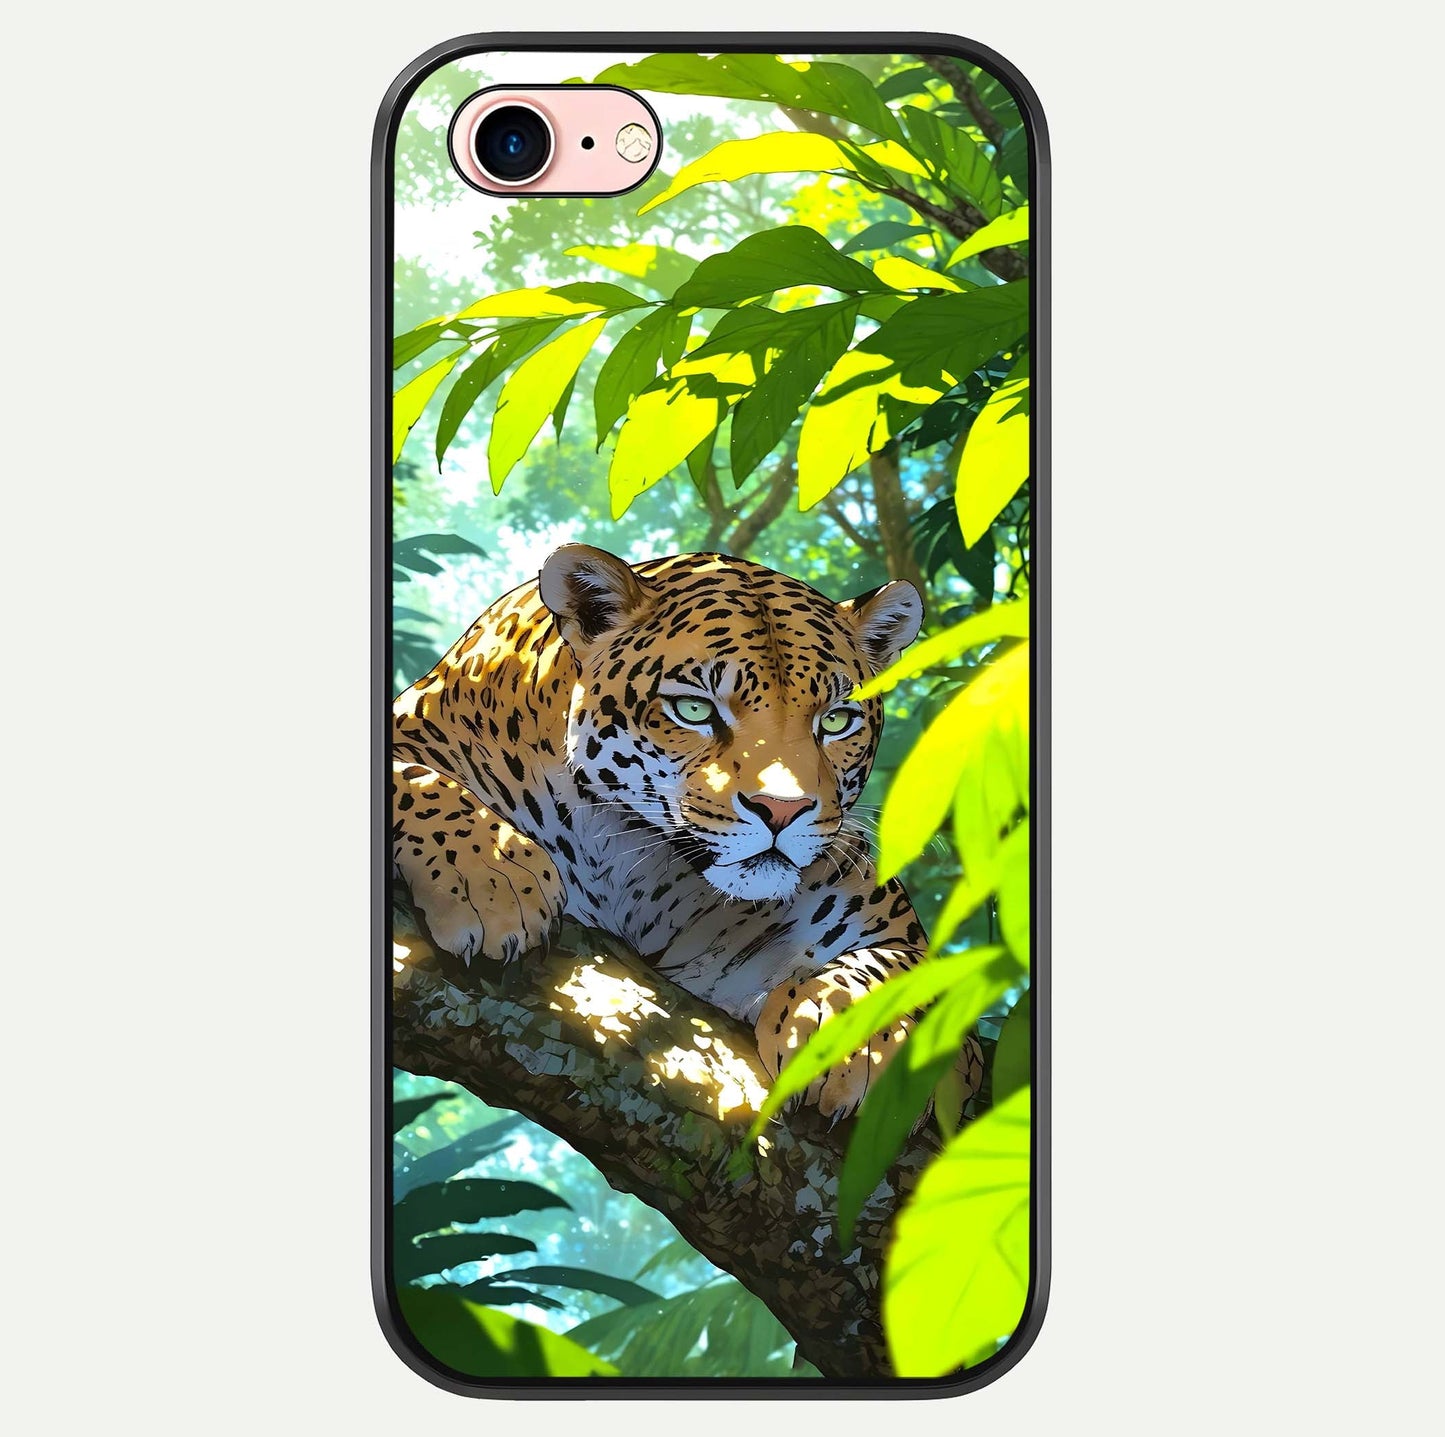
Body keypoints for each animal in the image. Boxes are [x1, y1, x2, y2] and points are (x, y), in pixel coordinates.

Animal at [392, 544, 982, 1118]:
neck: (629, 862)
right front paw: (493, 880)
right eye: (695, 709)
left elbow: (906, 969)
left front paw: (849, 1035)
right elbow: (415, 779)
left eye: (836, 720)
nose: (782, 810)